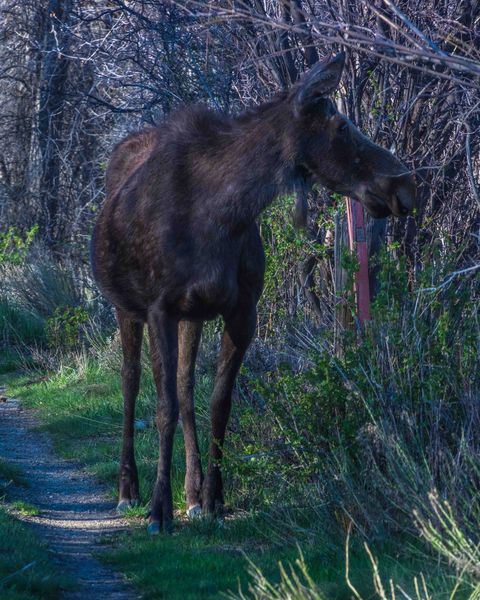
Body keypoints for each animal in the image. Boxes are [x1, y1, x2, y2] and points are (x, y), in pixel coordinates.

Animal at [91, 52, 416, 536]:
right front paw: (158, 509)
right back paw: (128, 488)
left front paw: (213, 498)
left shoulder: (241, 310)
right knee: (131, 384)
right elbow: (163, 406)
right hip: (125, 307)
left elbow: (218, 403)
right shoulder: (159, 307)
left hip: (192, 316)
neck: (224, 214)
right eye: (341, 126)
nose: (405, 184)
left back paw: (191, 491)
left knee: (185, 386)